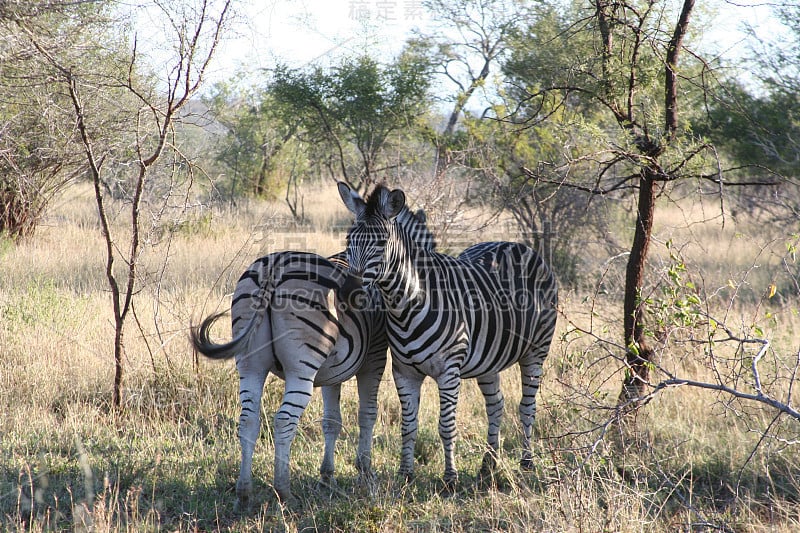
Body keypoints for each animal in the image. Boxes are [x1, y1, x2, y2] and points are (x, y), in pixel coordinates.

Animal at [191, 206, 432, 504]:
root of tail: (274, 267)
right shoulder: (374, 358)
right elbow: (367, 414)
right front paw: (365, 472)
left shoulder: (333, 372)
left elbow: (332, 421)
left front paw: (327, 476)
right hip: (302, 367)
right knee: (284, 420)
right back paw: (284, 491)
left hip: (250, 364)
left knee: (248, 420)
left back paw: (244, 492)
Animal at [336, 182, 556, 486]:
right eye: (349, 241)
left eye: (381, 243)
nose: (348, 293)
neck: (405, 304)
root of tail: (518, 245)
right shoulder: (404, 372)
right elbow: (408, 425)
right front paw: (405, 474)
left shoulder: (449, 372)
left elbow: (446, 426)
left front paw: (450, 478)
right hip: (489, 360)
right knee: (496, 405)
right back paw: (488, 465)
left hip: (537, 350)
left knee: (526, 406)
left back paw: (526, 463)